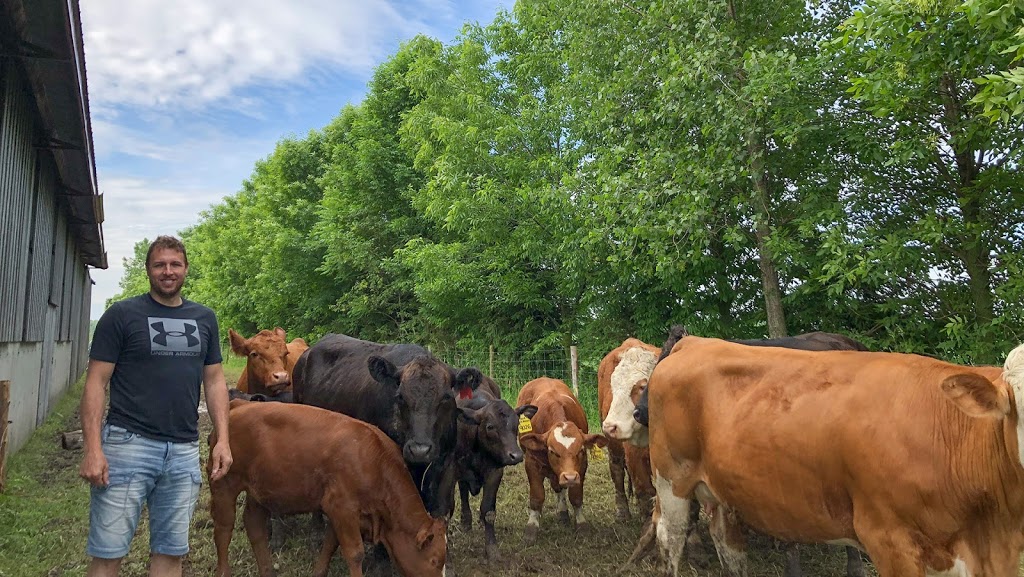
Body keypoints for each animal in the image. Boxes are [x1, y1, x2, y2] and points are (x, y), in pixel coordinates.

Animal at [208, 401, 448, 577]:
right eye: (434, 561)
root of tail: (238, 404)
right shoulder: (342, 506)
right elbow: (355, 553)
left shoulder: (339, 511)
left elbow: (330, 544)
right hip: (224, 484)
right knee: (223, 529)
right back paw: (224, 571)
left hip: (259, 490)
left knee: (254, 525)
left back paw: (267, 571)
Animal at [516, 377, 602, 545]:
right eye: (552, 451)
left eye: (581, 450)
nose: (569, 477)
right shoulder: (531, 463)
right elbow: (537, 497)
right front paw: (531, 528)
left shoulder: (581, 468)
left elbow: (576, 496)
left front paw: (581, 524)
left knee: (559, 488)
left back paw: (562, 511)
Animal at [598, 336, 659, 520]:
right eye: (613, 385)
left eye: (642, 386)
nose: (610, 426)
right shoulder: (635, 457)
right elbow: (645, 493)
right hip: (614, 449)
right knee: (617, 471)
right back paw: (622, 511)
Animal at [647, 336, 1024, 577]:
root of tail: (694, 341)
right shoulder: (889, 541)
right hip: (671, 478)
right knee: (671, 536)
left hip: (720, 487)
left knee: (727, 542)